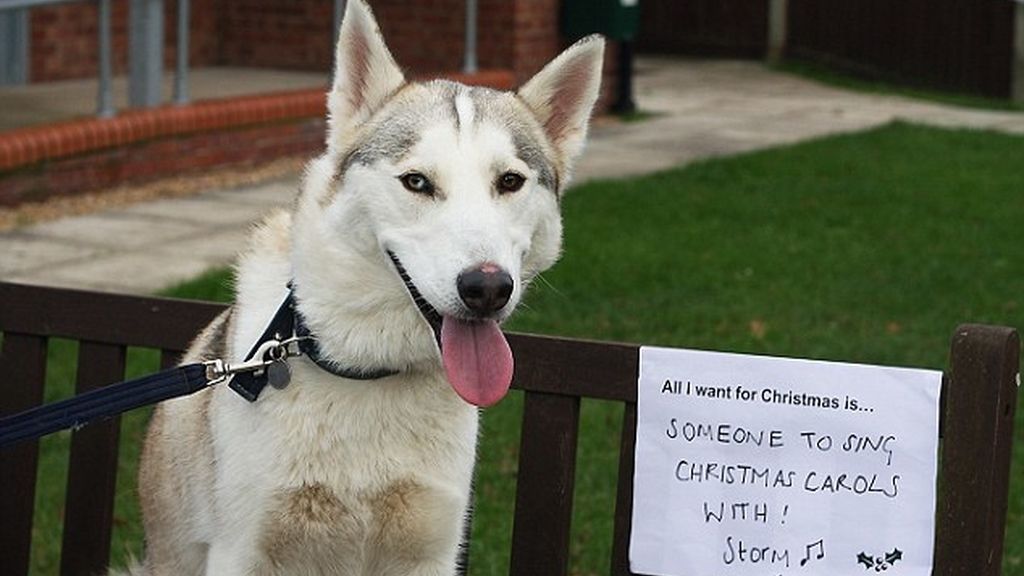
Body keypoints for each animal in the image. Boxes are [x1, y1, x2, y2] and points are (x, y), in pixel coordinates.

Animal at [132, 2, 602, 569]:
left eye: (509, 181)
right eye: (417, 181)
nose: (487, 287)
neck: (367, 369)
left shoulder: (432, 549)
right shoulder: (242, 550)